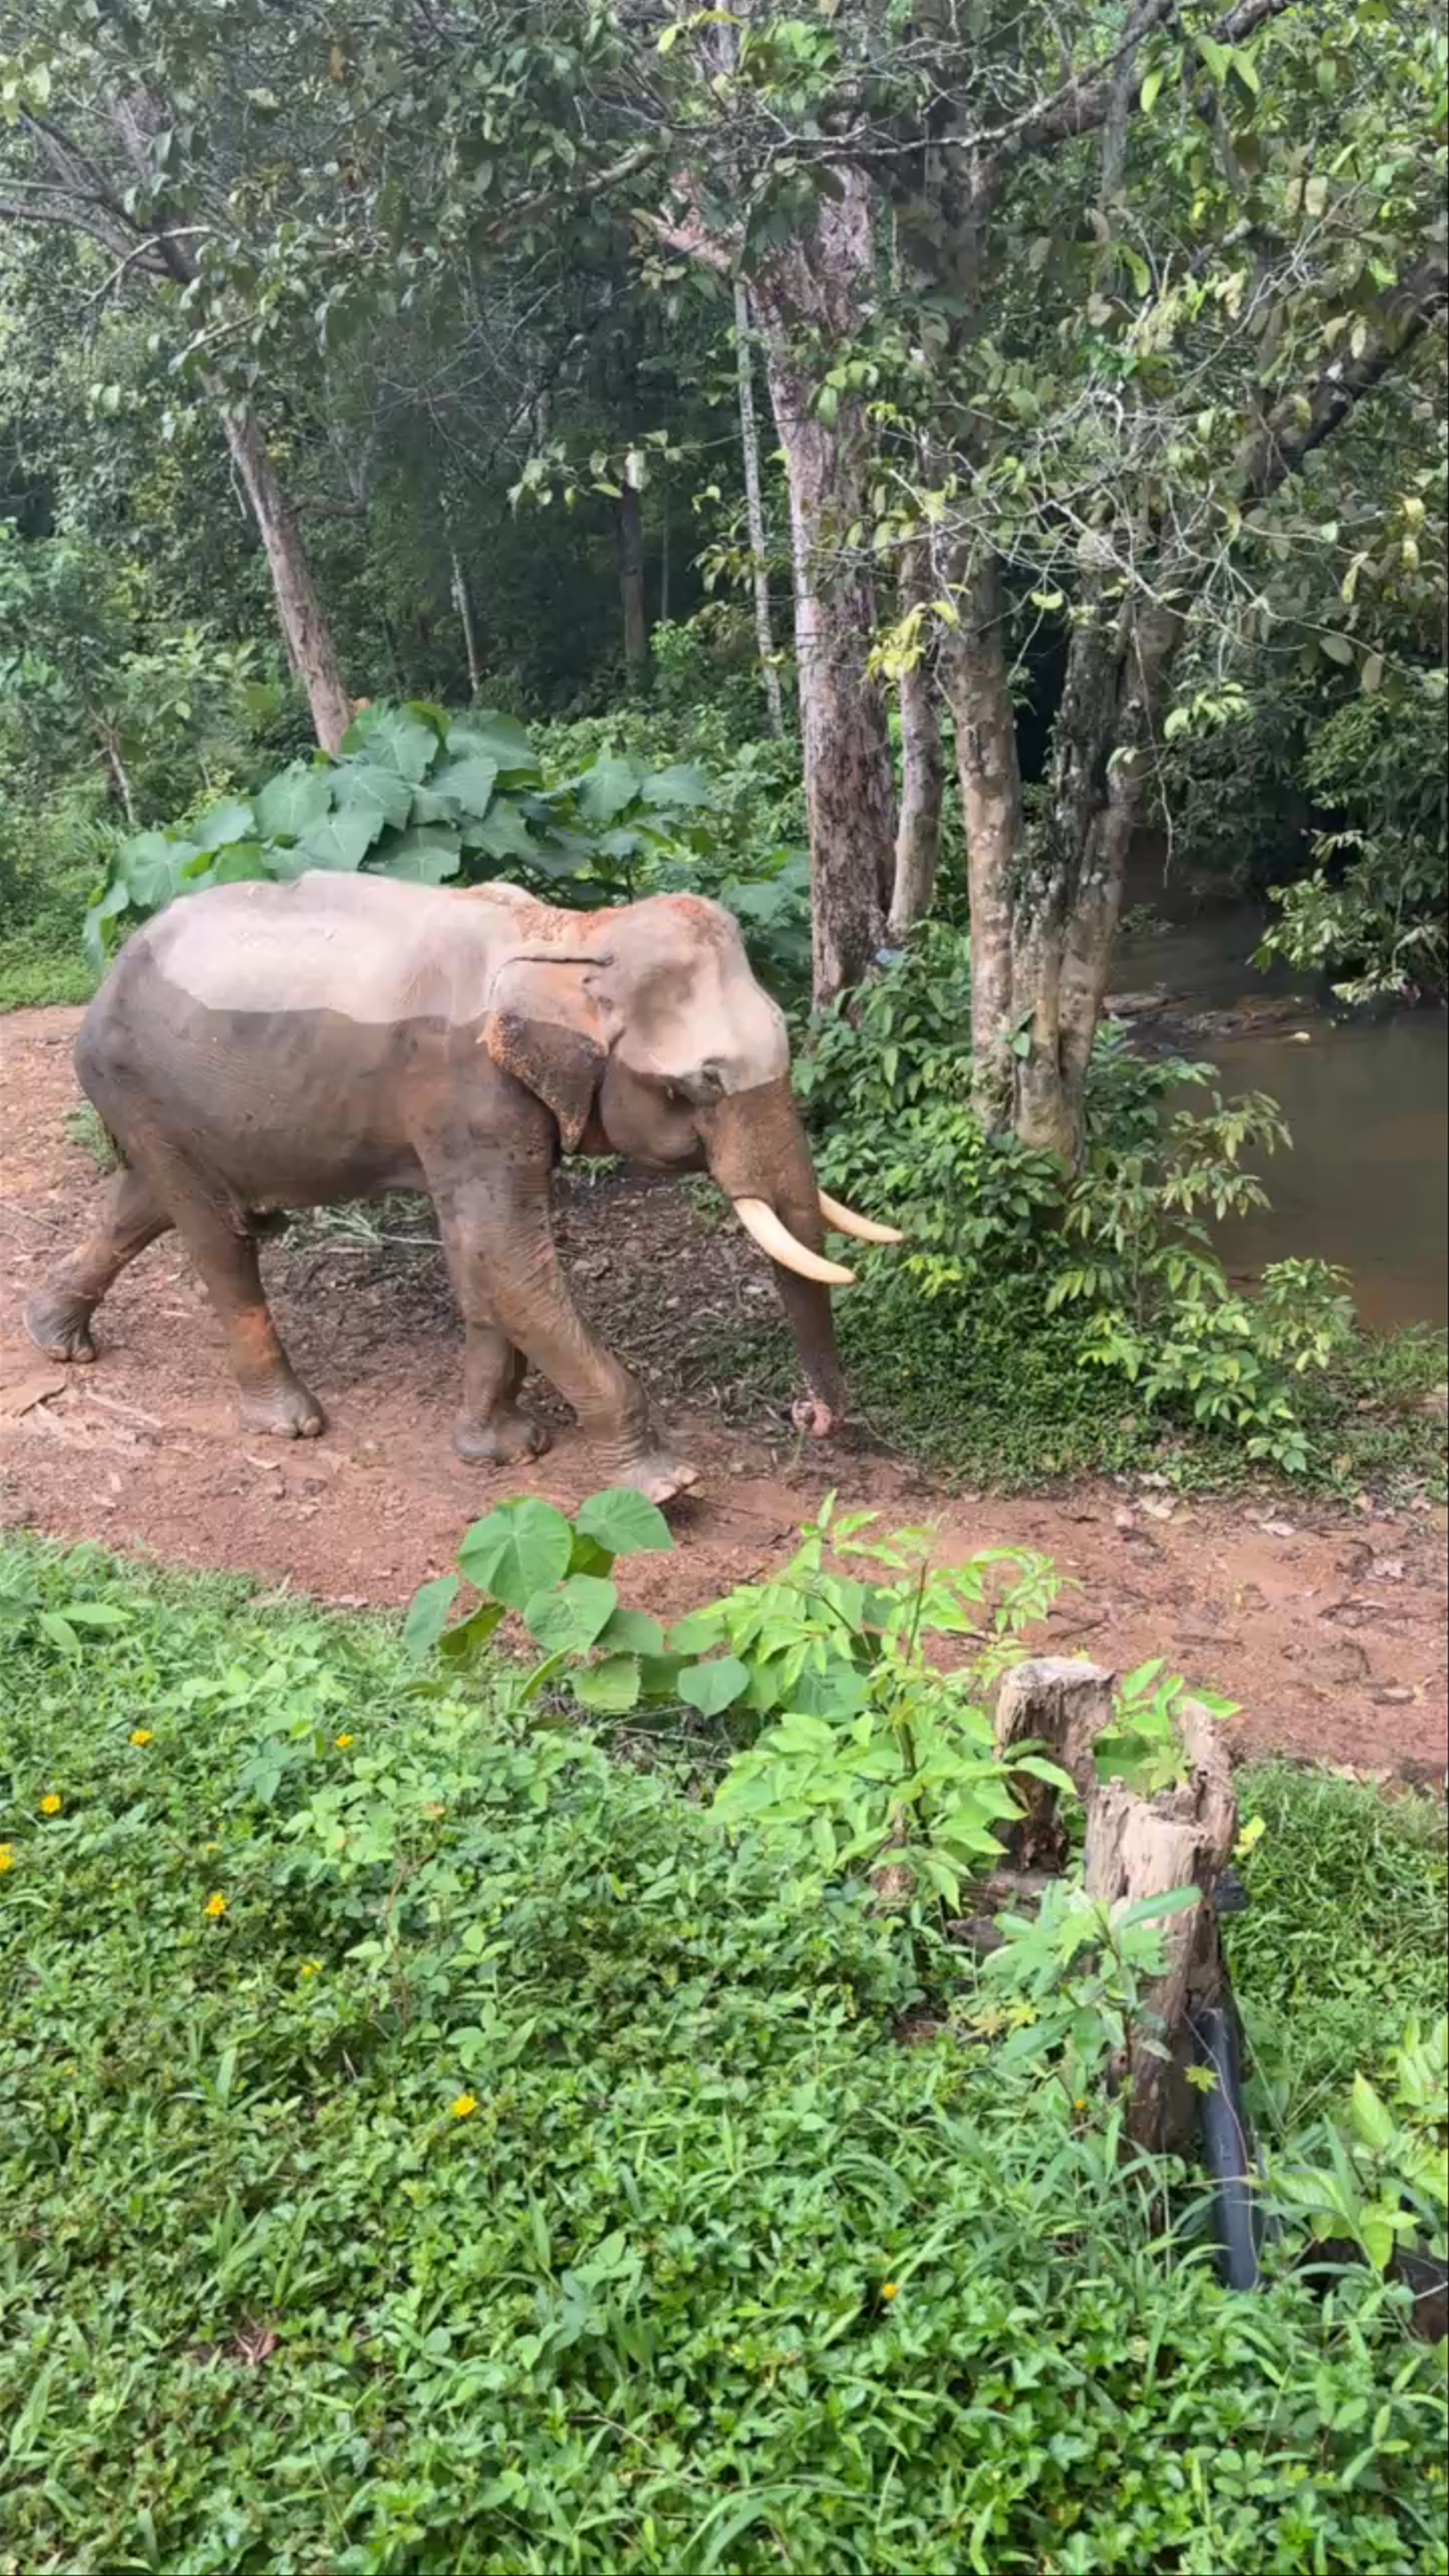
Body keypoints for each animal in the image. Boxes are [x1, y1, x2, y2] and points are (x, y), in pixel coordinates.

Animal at [25, 872, 901, 1501]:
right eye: (698, 1086)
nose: (813, 1418)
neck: (571, 935)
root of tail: (109, 972)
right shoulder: (466, 1094)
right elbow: (503, 1255)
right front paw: (666, 1484)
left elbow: (487, 1271)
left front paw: (499, 1450)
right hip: (143, 1084)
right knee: (217, 1235)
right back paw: (290, 1423)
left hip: (161, 1108)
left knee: (144, 1202)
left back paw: (55, 1338)